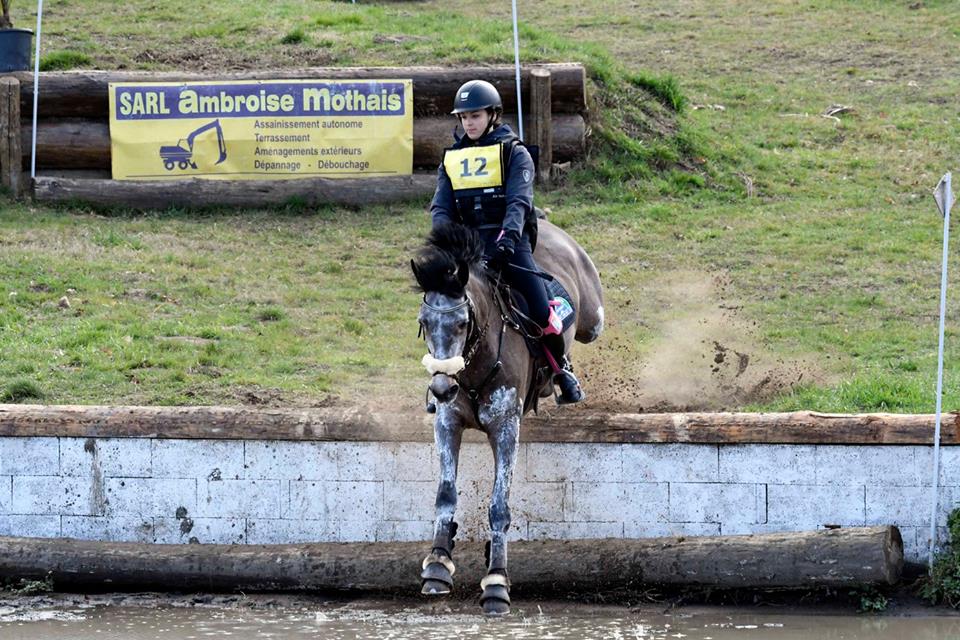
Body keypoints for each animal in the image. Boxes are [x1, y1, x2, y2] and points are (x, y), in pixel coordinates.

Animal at [408, 220, 604, 616]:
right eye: (424, 321)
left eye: (463, 322)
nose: (440, 387)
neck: (473, 366)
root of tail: (545, 223)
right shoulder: (448, 422)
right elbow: (445, 493)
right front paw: (438, 563)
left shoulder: (505, 427)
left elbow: (499, 506)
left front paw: (496, 581)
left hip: (592, 317)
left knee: (580, 329)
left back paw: (566, 378)